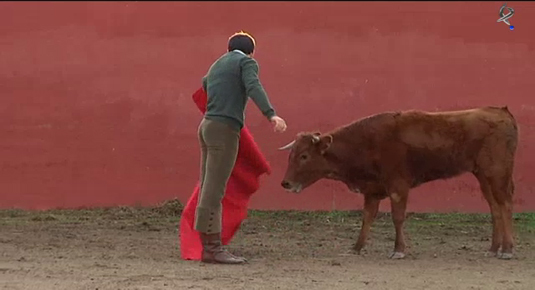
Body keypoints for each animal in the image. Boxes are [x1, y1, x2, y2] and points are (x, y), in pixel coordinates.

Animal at [280, 106, 520, 260]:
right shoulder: (372, 190)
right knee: (494, 207)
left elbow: (397, 217)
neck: (366, 143)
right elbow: (367, 217)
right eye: (291, 155)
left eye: (304, 156)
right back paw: (494, 248)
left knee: (506, 204)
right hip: (483, 176)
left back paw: (507, 250)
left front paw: (398, 249)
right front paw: (357, 247)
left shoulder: (398, 186)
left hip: (497, 173)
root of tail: (501, 112)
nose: (286, 183)